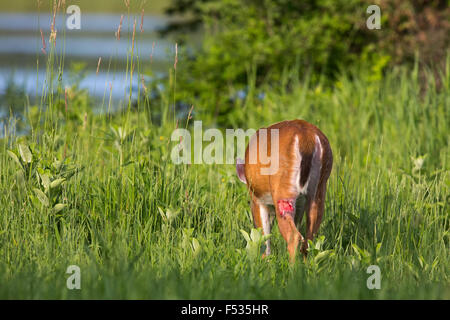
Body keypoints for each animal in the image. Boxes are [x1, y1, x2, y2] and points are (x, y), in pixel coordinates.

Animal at [237, 119, 332, 262]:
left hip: (283, 188)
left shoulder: (257, 199)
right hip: (319, 188)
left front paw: (264, 260)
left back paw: (292, 266)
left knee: (294, 236)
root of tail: (306, 139)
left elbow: (263, 235)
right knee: (309, 239)